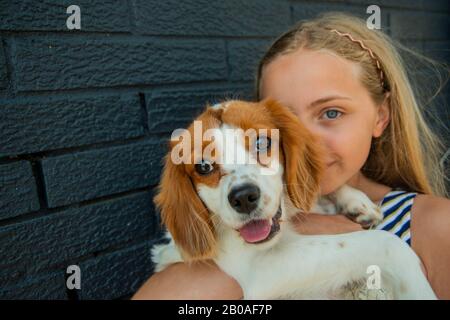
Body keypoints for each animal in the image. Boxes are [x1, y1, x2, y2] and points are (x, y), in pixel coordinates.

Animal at [151, 99, 436, 298]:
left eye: (262, 142)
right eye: (203, 167)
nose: (243, 198)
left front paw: (356, 201)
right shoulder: (258, 269)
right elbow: (385, 243)